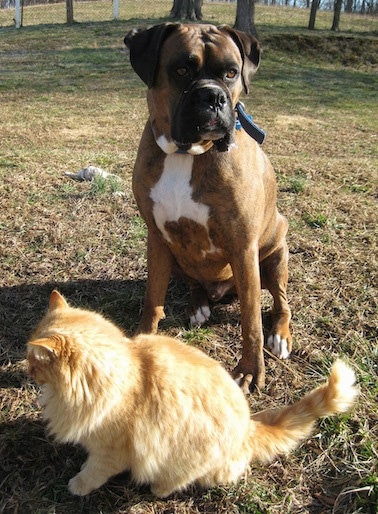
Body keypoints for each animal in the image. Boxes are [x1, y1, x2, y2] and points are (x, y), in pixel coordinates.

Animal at [28, 292, 358, 496]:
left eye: (34, 361)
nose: (28, 371)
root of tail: (249, 427)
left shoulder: (111, 452)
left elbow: (93, 472)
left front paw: (77, 485)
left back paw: (158, 488)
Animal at [125, 23, 292, 388]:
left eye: (231, 73)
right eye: (181, 70)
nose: (212, 96)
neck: (186, 154)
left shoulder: (243, 249)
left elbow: (250, 320)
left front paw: (250, 369)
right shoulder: (157, 239)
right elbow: (152, 299)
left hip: (274, 256)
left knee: (281, 303)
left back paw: (280, 335)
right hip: (177, 257)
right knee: (194, 283)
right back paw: (198, 305)